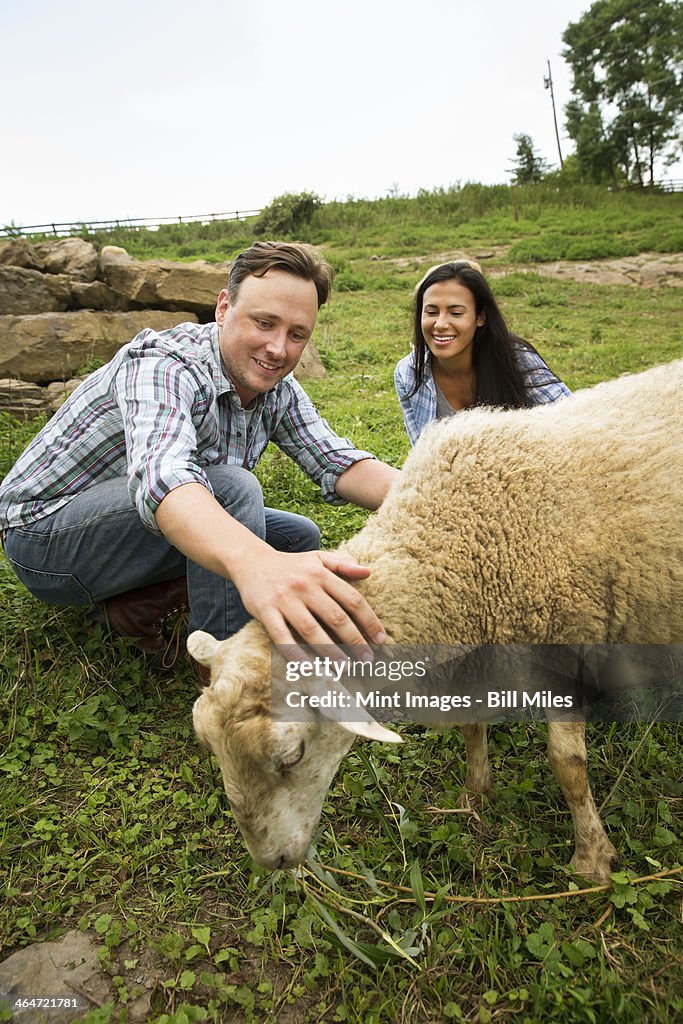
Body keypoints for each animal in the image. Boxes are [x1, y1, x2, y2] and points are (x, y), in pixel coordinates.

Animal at [187, 360, 683, 880]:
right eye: (208, 743)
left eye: (293, 755)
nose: (273, 862)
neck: (463, 534)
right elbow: (471, 726)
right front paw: (474, 795)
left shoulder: (564, 644)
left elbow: (567, 763)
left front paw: (591, 858)